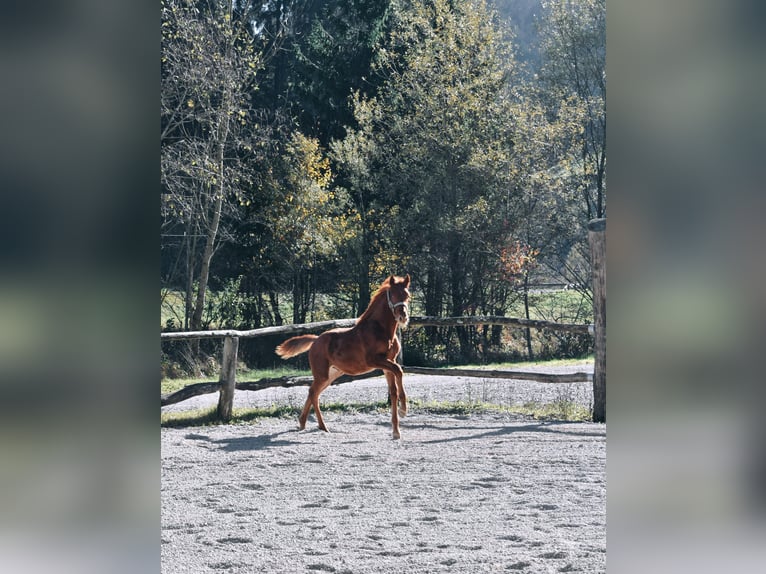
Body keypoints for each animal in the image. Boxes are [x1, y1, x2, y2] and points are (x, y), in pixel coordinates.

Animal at [278, 274, 414, 440]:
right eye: (393, 294)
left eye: (407, 296)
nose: (403, 317)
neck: (380, 330)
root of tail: (315, 340)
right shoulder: (375, 360)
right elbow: (399, 370)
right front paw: (403, 410)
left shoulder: (388, 363)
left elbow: (393, 391)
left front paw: (396, 431)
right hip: (322, 375)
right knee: (313, 393)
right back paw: (323, 427)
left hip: (332, 374)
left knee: (313, 392)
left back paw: (303, 423)